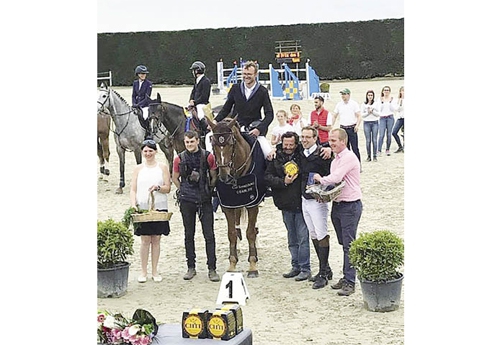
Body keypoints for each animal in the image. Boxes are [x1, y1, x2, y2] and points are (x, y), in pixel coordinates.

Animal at [205, 115, 268, 276]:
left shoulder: (253, 204)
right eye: (213, 144)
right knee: (238, 223)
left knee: (253, 227)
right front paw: (232, 263)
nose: (223, 176)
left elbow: (250, 232)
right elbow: (232, 232)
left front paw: (252, 265)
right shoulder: (227, 204)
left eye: (230, 144)